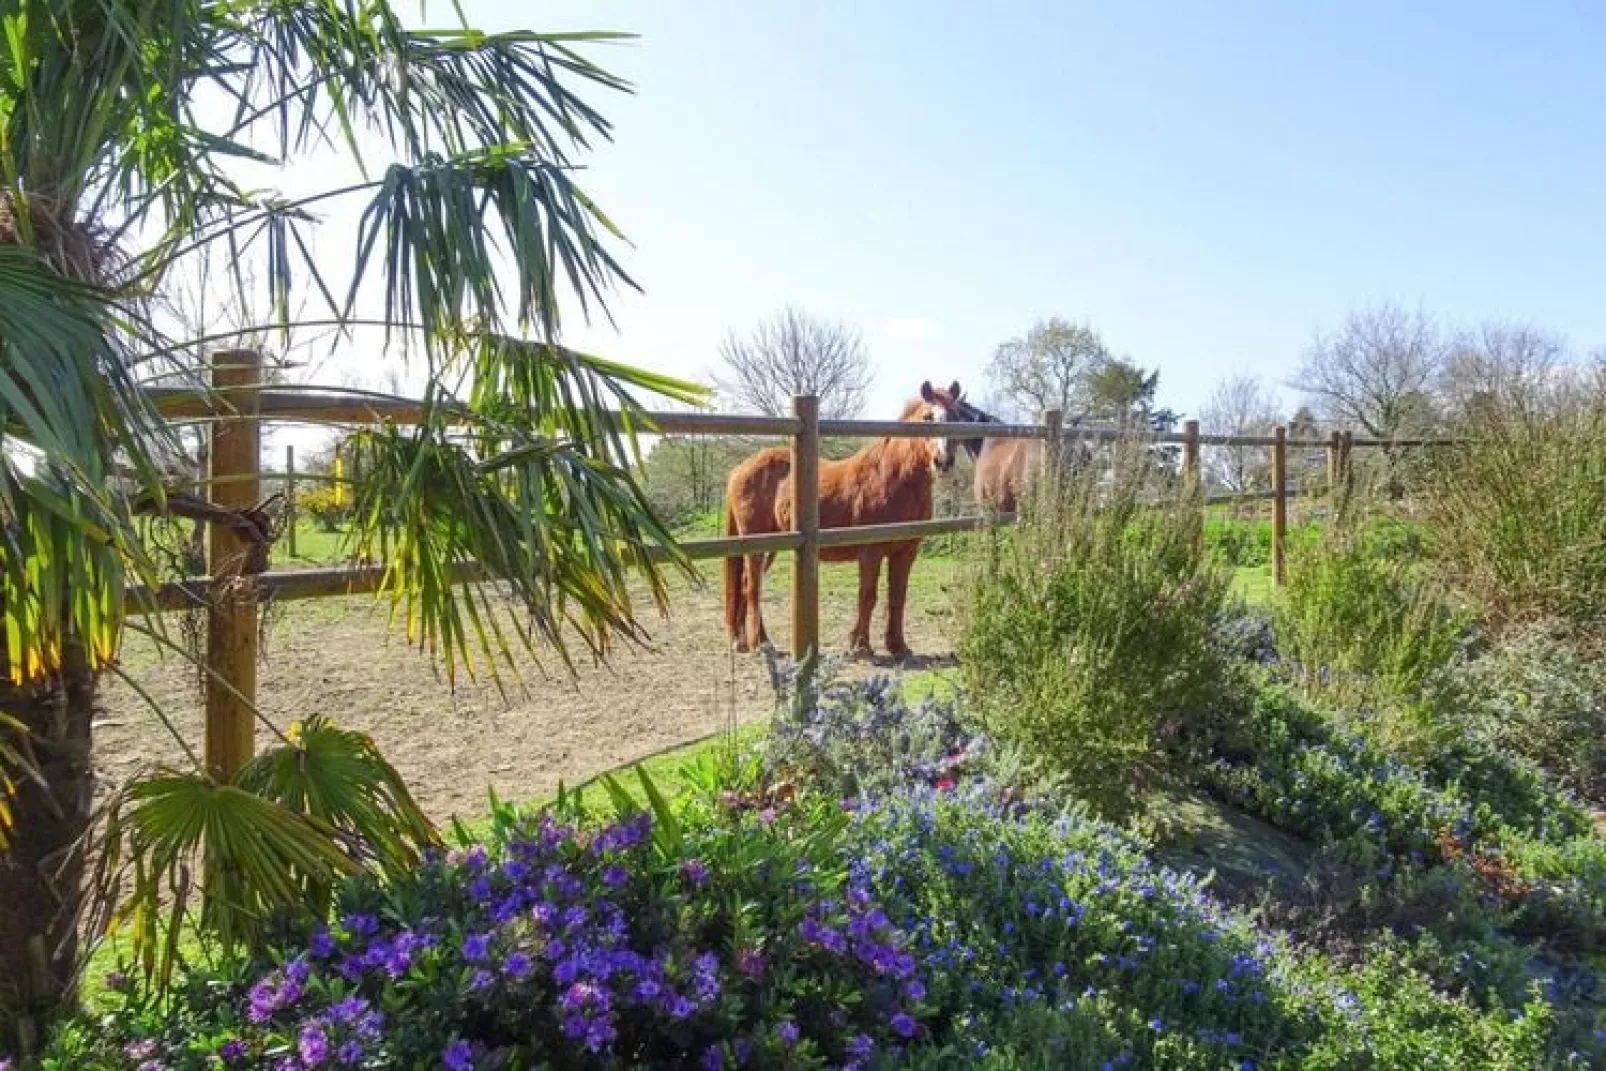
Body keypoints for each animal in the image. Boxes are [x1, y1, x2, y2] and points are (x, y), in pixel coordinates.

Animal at [725, 380, 963, 658]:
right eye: (927, 417)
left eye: (956, 417)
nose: (943, 461)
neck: (894, 478)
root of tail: (740, 468)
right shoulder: (871, 552)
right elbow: (867, 596)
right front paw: (861, 646)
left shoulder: (905, 552)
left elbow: (897, 597)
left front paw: (898, 646)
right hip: (758, 544)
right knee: (753, 588)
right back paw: (760, 644)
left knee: (744, 586)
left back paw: (742, 641)